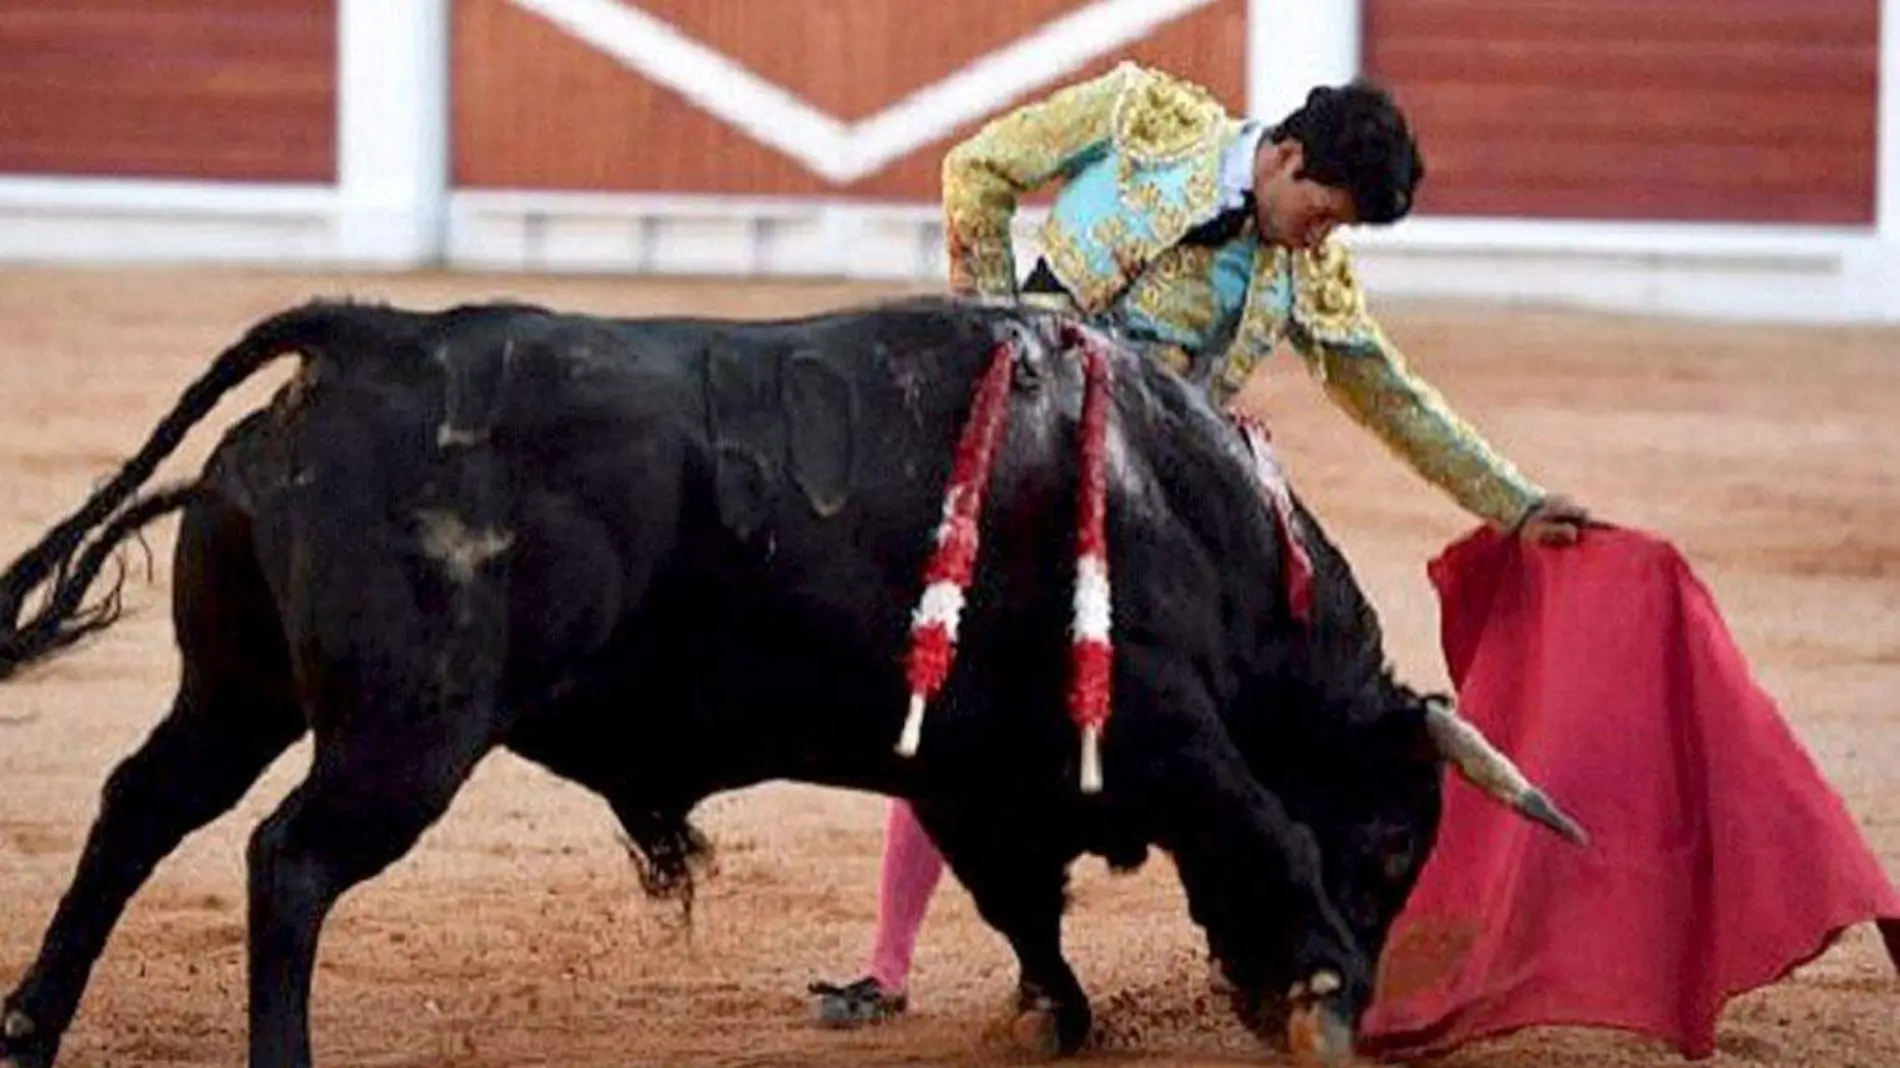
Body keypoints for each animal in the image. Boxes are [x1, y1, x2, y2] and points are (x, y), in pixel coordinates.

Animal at [0, 294, 1580, 1064]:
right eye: (1394, 847)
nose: (1377, 990)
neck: (1181, 498)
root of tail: (373, 338)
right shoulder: (1160, 723)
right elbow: (1249, 829)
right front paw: (1320, 997)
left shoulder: (974, 769)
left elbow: (1018, 898)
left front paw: (1052, 1015)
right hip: (407, 731)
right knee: (290, 860)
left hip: (238, 689)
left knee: (140, 808)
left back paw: (31, 1024)